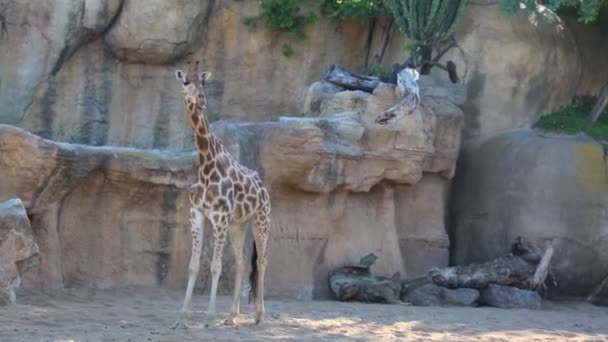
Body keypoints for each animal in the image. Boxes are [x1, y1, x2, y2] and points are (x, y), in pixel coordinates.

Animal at [175, 60, 272, 328]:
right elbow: (193, 265)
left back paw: (259, 315)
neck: (206, 164)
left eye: (203, 81)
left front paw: (208, 317)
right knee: (241, 261)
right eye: (185, 81)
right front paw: (182, 317)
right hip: (238, 225)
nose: (201, 99)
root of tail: (263, 187)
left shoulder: (219, 217)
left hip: (261, 220)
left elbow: (216, 266)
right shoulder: (197, 214)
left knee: (262, 260)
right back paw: (231, 316)